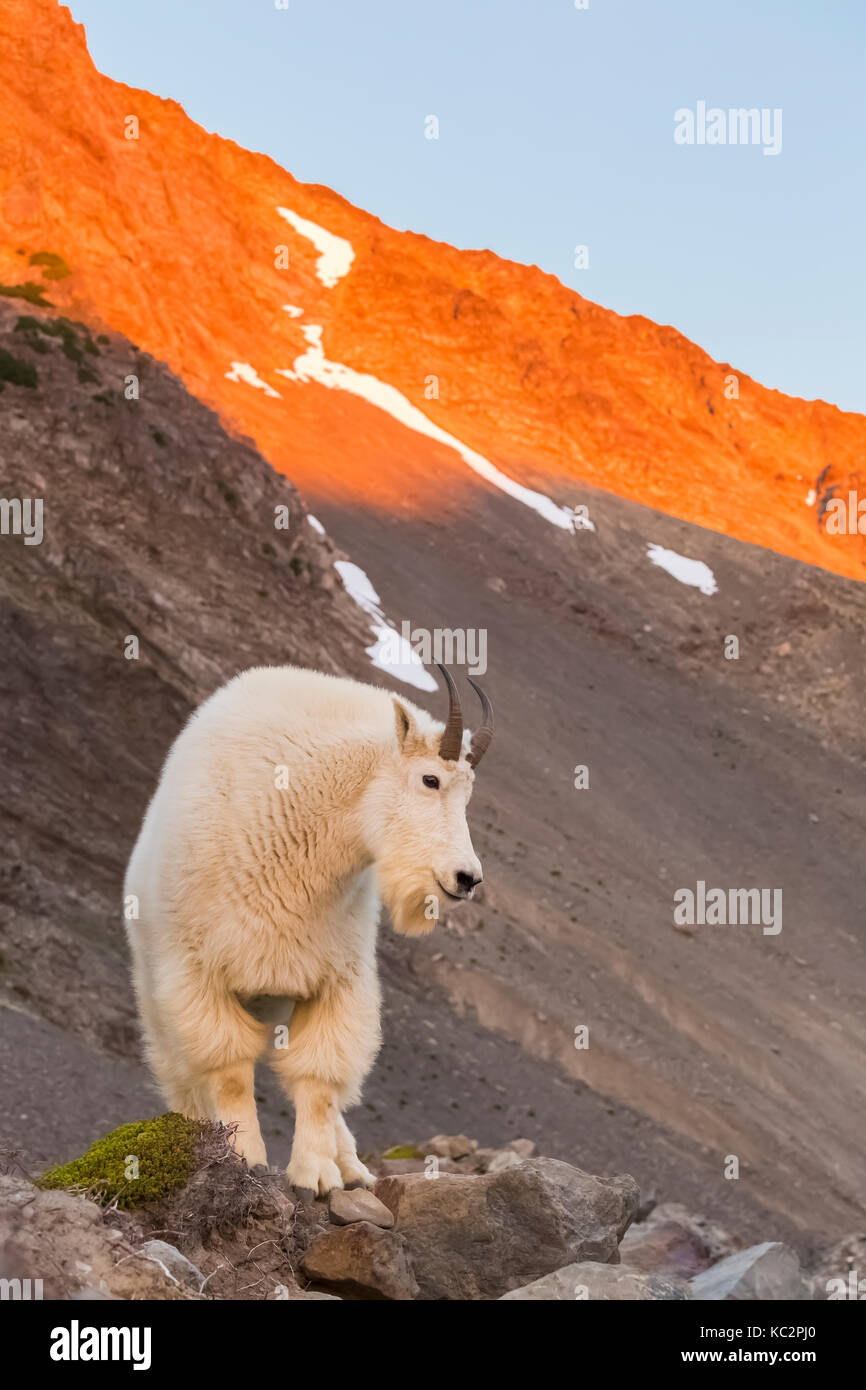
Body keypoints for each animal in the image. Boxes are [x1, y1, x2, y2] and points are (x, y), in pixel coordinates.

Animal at [125, 661, 497, 1195]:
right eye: (430, 779)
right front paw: (243, 1157)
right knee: (181, 1074)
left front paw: (319, 1174)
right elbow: (230, 1073)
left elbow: (320, 1078)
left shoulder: (335, 978)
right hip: (158, 990)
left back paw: (353, 1166)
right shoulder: (200, 975)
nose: (466, 878)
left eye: (468, 794)